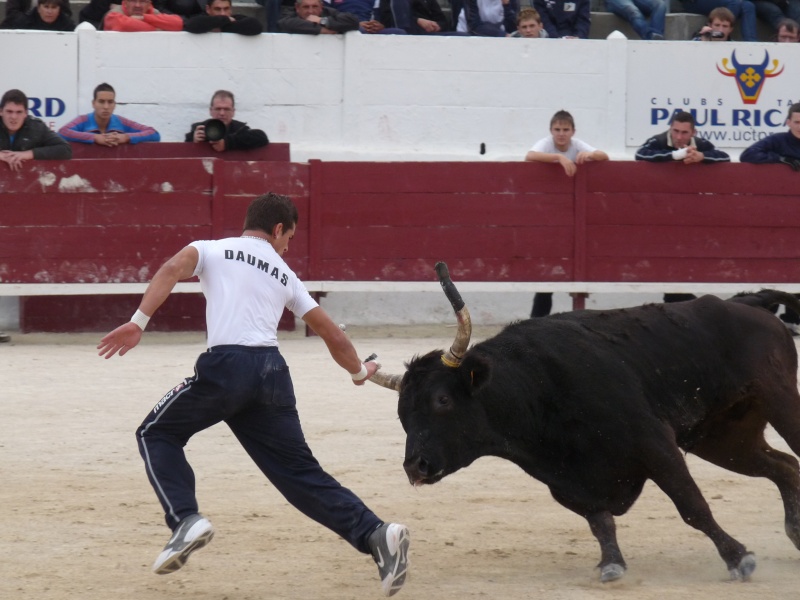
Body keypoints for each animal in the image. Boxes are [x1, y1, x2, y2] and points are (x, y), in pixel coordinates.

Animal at [372, 264, 800, 584]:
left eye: (442, 400)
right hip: (722, 438)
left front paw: (738, 558)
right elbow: (599, 521)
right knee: (783, 466)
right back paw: (796, 533)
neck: (535, 386)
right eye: (401, 414)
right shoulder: (563, 478)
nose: (415, 466)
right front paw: (611, 564)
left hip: (779, 400)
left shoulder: (655, 443)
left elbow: (692, 505)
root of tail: (744, 302)